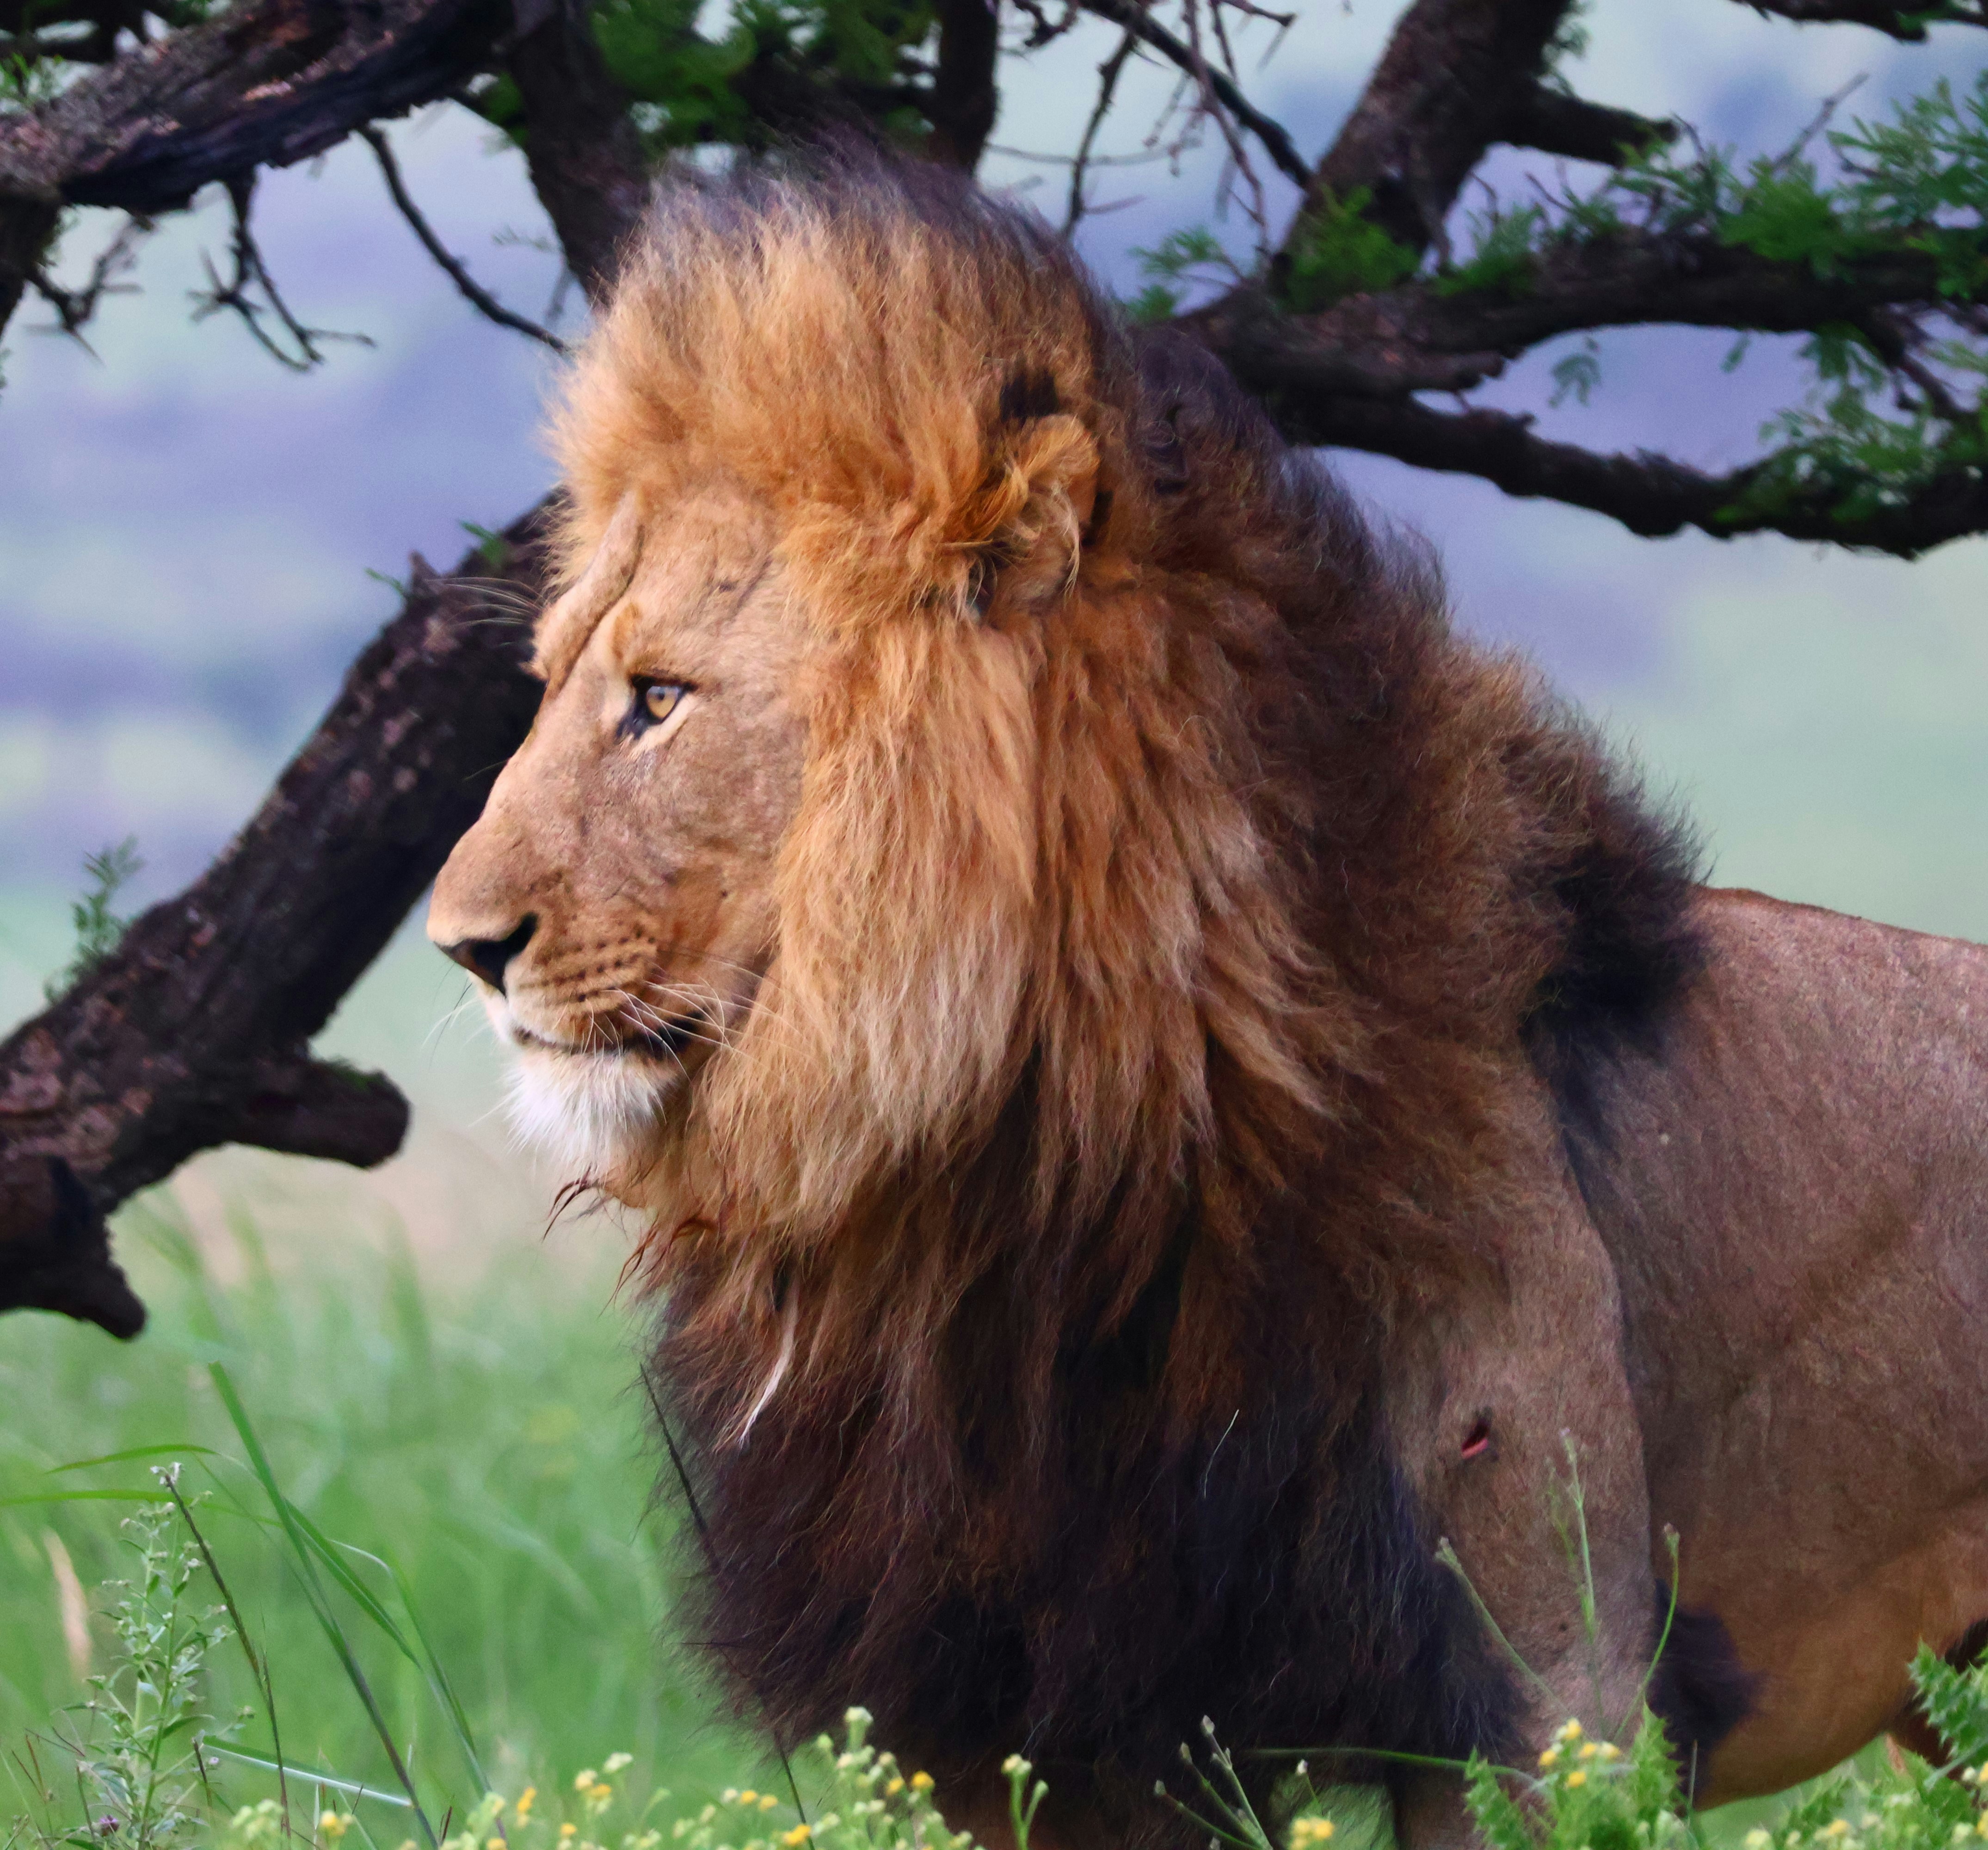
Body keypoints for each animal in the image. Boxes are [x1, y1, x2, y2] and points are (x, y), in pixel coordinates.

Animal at [428, 160, 1988, 1850]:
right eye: (552, 684)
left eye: (658, 701)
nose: (459, 944)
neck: (1034, 1167)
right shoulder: (1045, 1714)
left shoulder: (1538, 1679)